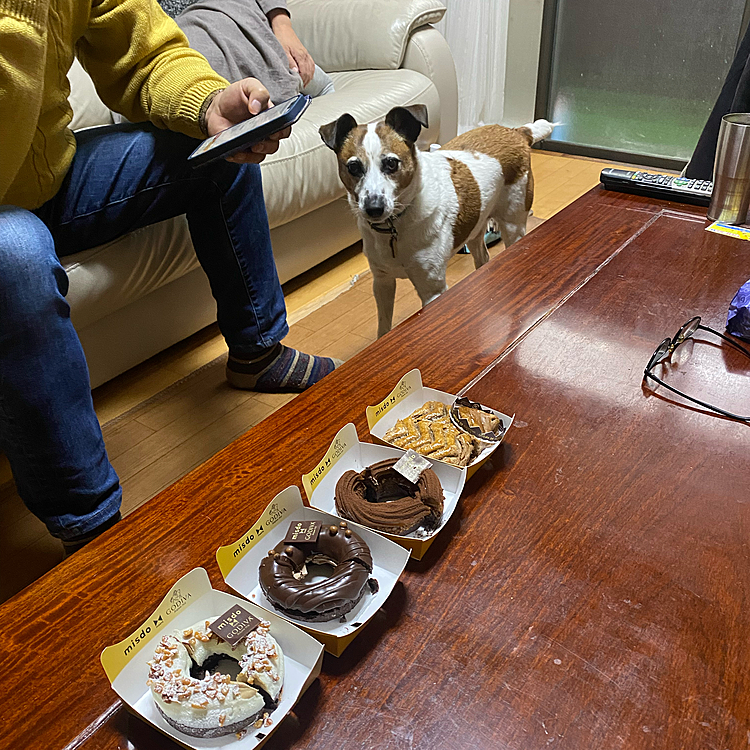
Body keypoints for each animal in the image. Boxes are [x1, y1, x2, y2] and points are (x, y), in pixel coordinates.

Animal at [320, 106, 556, 338]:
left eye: (391, 163)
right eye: (353, 167)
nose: (373, 208)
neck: (394, 226)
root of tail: (517, 131)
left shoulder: (432, 289)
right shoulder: (382, 281)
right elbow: (383, 327)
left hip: (513, 225)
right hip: (475, 226)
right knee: (483, 256)